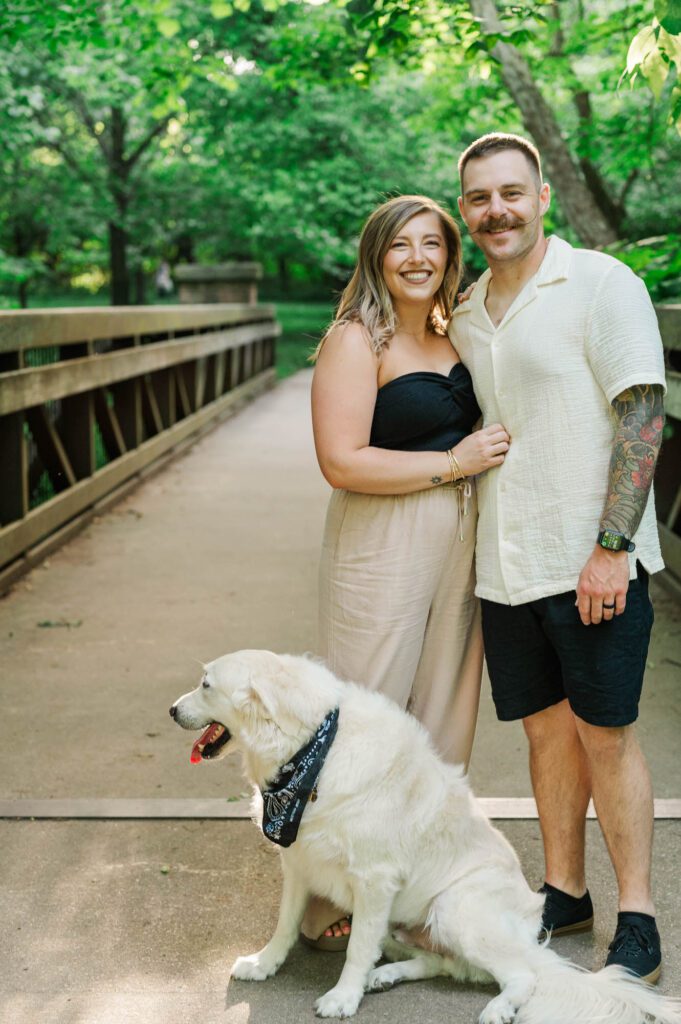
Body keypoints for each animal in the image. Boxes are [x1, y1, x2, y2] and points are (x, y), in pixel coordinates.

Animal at [169, 651, 679, 1019]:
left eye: (207, 685)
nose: (172, 710)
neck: (314, 752)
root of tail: (531, 941)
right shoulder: (299, 863)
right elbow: (286, 925)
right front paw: (264, 964)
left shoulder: (374, 882)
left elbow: (356, 948)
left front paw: (343, 997)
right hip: (413, 924)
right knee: (441, 962)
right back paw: (388, 975)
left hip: (455, 908)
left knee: (520, 976)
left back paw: (498, 1008)